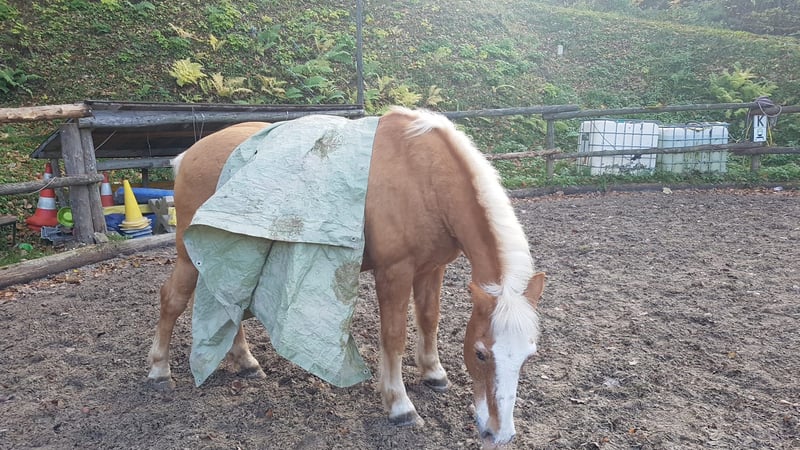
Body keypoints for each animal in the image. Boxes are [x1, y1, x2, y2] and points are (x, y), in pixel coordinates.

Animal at [146, 107, 545, 446]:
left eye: (528, 354)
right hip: (189, 256)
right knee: (172, 300)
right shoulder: (395, 272)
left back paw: (245, 364)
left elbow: (429, 320)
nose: (499, 433)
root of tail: (190, 155)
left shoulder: (433, 268)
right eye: (480, 354)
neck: (423, 175)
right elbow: (394, 337)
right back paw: (160, 371)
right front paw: (400, 407)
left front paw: (433, 374)